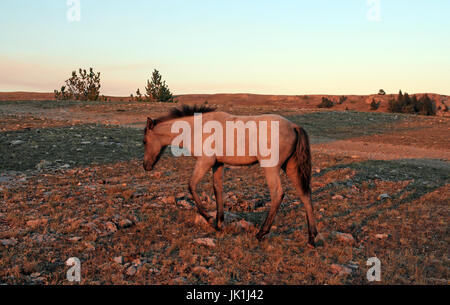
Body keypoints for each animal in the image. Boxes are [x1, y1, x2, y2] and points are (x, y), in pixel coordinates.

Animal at [142, 105, 318, 246]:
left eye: (144, 141)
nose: (146, 166)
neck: (197, 128)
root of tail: (294, 126)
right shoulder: (217, 164)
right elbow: (217, 189)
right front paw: (219, 223)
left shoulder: (204, 161)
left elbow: (191, 185)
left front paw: (209, 218)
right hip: (290, 167)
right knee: (304, 194)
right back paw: (311, 238)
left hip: (271, 168)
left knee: (277, 194)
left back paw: (261, 233)